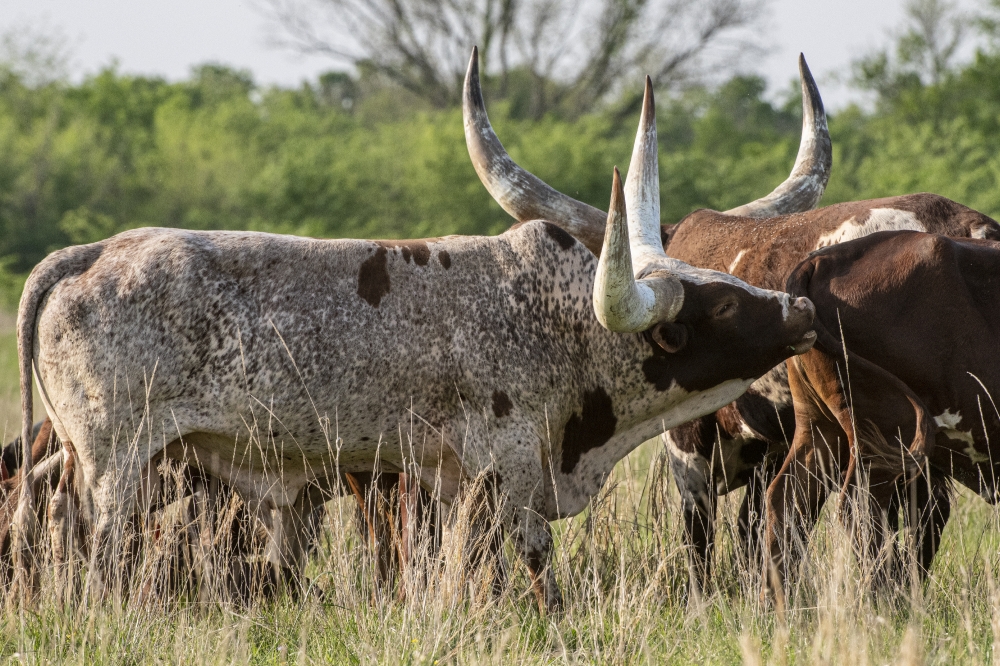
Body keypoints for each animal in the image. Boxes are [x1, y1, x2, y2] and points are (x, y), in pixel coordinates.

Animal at [9, 59, 820, 608]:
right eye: (719, 305)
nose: (801, 309)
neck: (562, 326)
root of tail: (90, 254)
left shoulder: (450, 483)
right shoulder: (509, 472)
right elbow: (536, 571)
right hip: (113, 466)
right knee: (93, 552)